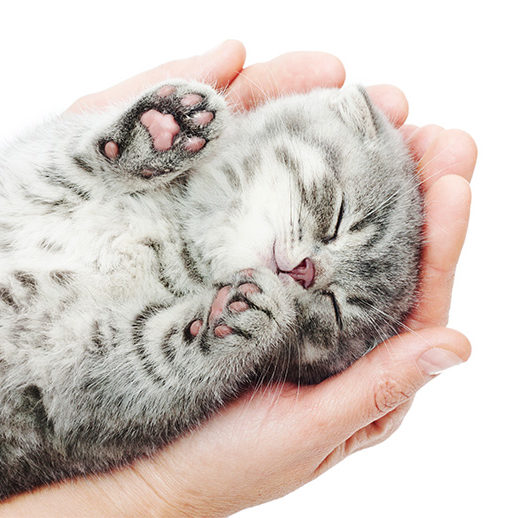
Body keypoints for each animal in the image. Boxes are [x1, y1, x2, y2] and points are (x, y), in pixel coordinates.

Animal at [0, 81, 422, 500]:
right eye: (340, 215)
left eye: (334, 309)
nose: (306, 272)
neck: (179, 241)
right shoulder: (26, 173)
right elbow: (70, 160)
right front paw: (160, 130)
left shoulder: (75, 398)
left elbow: (152, 361)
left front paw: (244, 319)